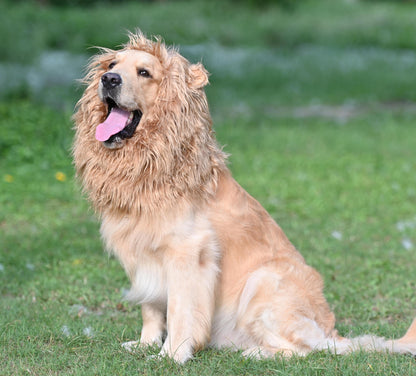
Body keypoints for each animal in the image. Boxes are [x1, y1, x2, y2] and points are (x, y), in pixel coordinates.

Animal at [72, 33, 416, 364]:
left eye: (144, 72)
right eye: (111, 65)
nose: (109, 79)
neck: (157, 162)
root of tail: (331, 332)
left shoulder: (188, 253)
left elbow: (180, 310)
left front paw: (172, 354)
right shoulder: (140, 254)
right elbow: (151, 308)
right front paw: (146, 344)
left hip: (263, 280)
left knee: (303, 349)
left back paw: (256, 353)